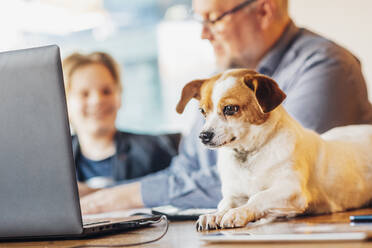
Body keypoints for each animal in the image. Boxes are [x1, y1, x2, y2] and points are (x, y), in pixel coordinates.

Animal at [176, 68, 372, 231]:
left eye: (230, 109)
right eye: (202, 111)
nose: (203, 136)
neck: (249, 155)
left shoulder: (291, 190)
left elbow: (258, 197)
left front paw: (237, 213)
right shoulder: (235, 195)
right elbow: (225, 203)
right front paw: (215, 215)